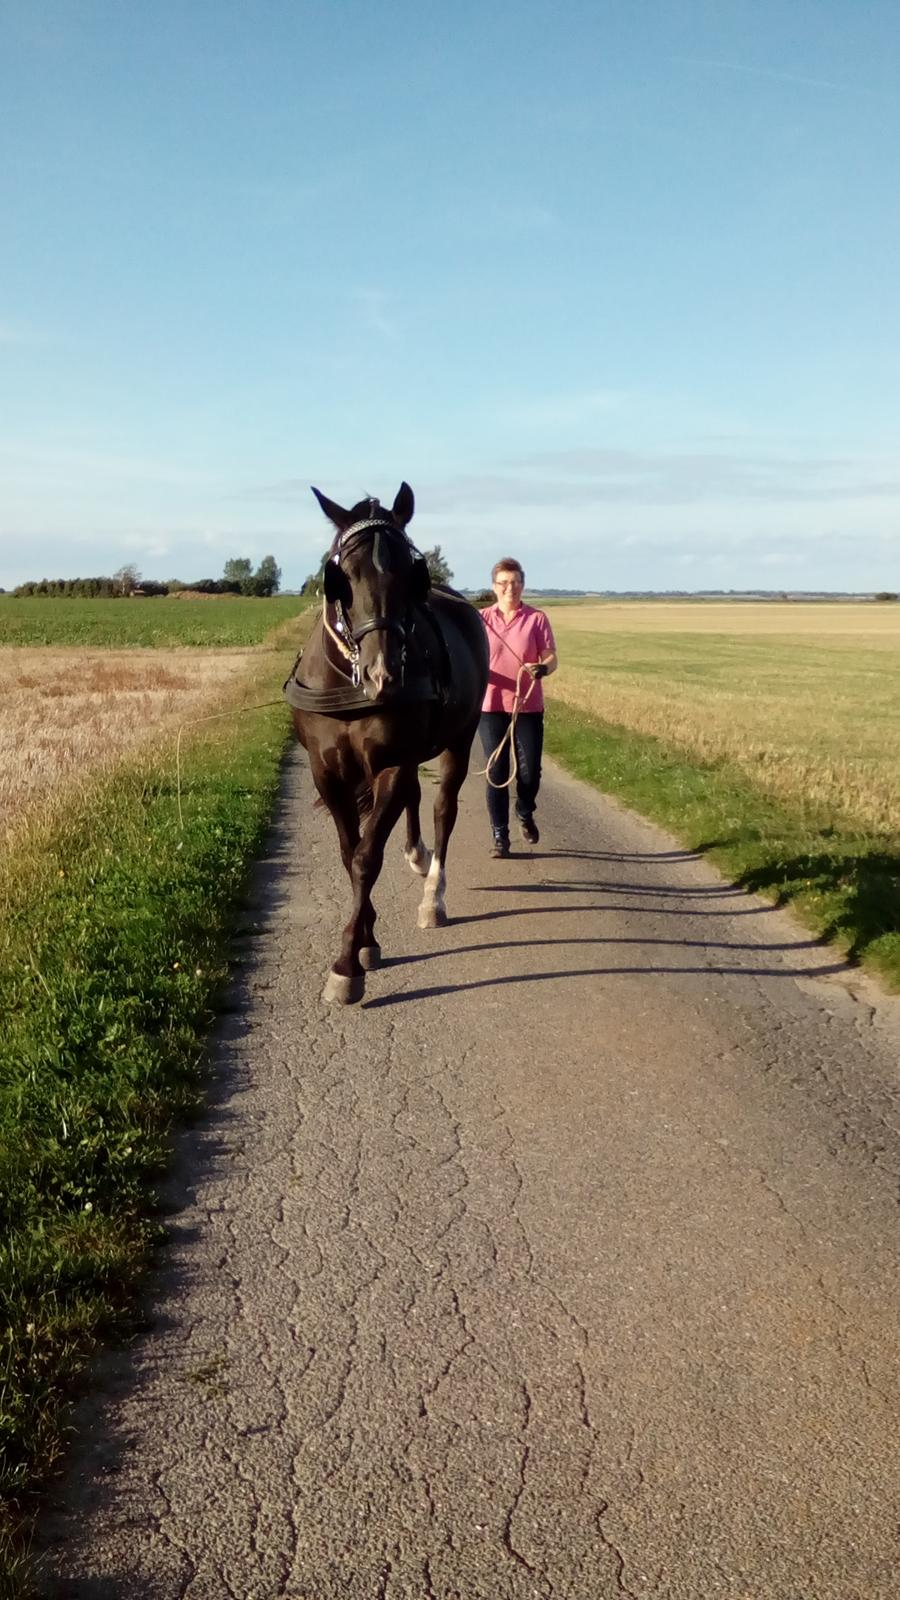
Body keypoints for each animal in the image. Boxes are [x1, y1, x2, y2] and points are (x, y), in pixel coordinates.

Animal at [285, 476, 483, 998]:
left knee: (442, 808)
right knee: (414, 797)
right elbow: (348, 852)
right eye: (341, 574)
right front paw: (366, 939)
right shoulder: (327, 773)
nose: (383, 674)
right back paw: (414, 854)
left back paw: (432, 894)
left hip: (460, 740)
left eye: (409, 573)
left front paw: (347, 963)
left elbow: (366, 858)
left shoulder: (391, 763)